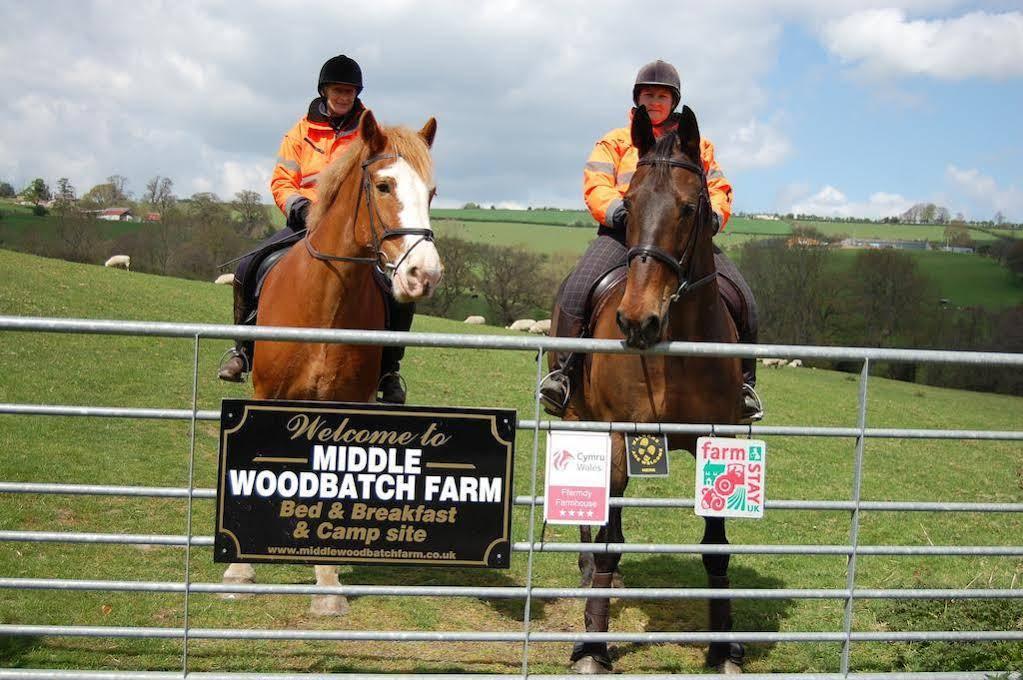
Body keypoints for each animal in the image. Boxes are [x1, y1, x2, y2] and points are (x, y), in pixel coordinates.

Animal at [221, 109, 446, 613]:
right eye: (383, 185)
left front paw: (327, 581)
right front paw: (240, 570)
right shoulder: (267, 396)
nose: (424, 275)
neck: (326, 303)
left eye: (431, 192)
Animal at [560, 106, 744, 674]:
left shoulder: (719, 439)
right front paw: (593, 647)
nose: (638, 320)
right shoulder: (620, 440)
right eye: (632, 202)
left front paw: (723, 646)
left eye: (689, 208)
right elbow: (611, 540)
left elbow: (715, 547)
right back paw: (585, 573)